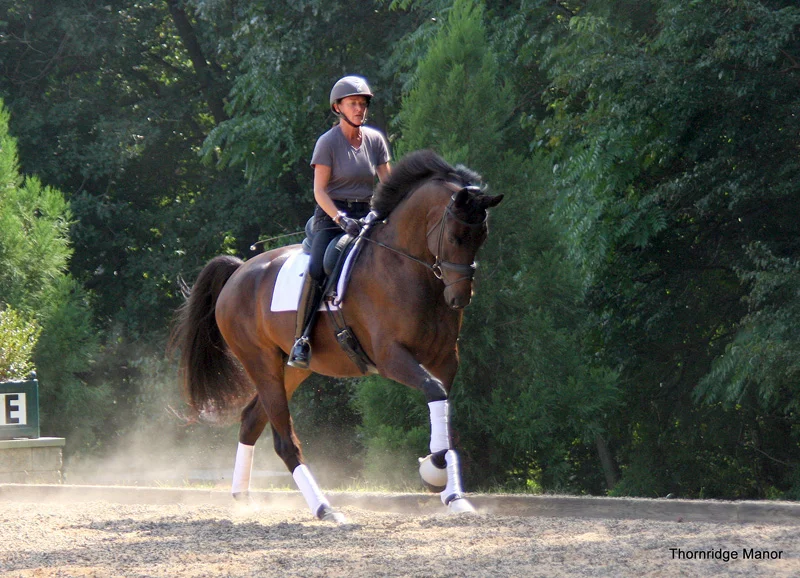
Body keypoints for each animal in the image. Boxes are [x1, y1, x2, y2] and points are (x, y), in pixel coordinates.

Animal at [171, 150, 503, 523]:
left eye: (481, 237)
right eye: (457, 236)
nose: (459, 298)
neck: (407, 269)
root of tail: (239, 271)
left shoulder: (446, 360)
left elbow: (443, 407)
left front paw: (453, 492)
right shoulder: (391, 357)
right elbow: (434, 393)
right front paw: (433, 470)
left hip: (290, 369)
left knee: (252, 420)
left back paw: (243, 497)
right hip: (260, 362)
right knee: (284, 440)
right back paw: (325, 509)